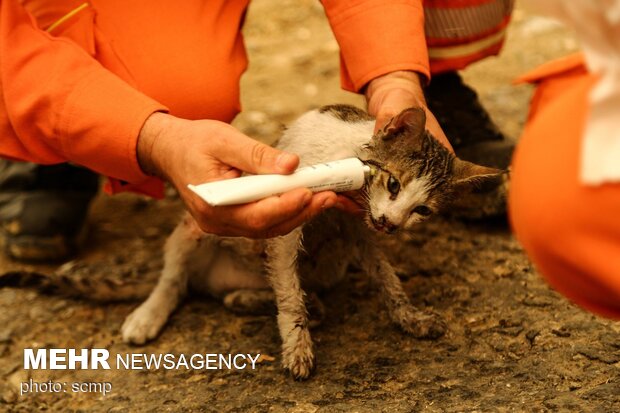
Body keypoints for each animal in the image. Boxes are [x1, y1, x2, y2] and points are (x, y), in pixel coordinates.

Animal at [118, 104, 506, 378]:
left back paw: (251, 299)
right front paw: (297, 346)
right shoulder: (285, 229)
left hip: (329, 264)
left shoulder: (360, 232)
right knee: (175, 279)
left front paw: (409, 316)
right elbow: (290, 296)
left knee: (240, 293)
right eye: (393, 184)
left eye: (423, 209)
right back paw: (147, 316)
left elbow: (388, 279)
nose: (391, 225)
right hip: (194, 227)